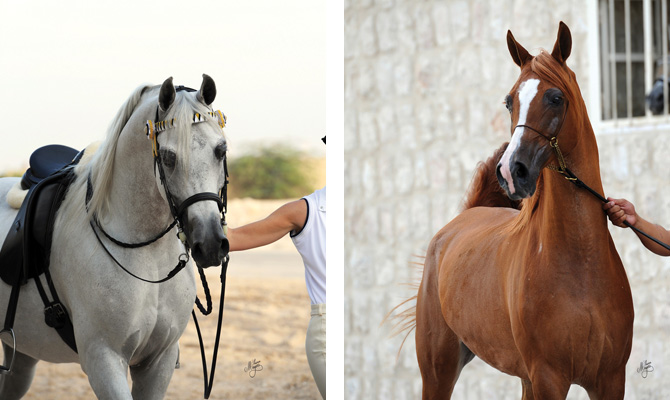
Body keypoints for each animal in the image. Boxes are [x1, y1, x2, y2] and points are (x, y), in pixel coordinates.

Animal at [414, 22, 636, 400]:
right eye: (509, 101)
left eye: (555, 98)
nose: (509, 171)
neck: (581, 264)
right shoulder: (548, 377)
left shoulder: (610, 379)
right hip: (439, 369)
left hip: (522, 377)